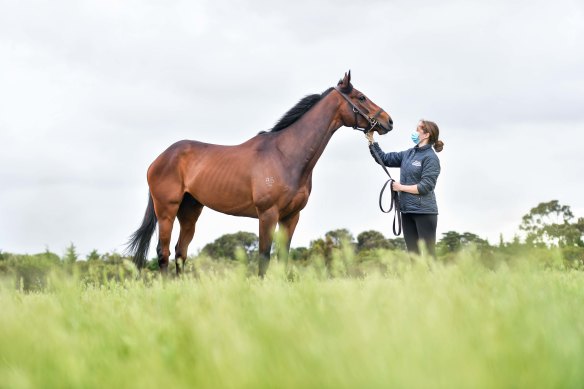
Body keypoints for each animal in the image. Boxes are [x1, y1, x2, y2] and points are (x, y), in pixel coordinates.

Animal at [126, 70, 392, 276]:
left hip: (190, 211)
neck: (286, 155)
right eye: (361, 97)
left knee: (180, 253)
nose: (388, 121)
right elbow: (264, 258)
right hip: (167, 211)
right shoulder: (267, 215)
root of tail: (160, 158)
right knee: (163, 253)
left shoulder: (291, 217)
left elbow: (283, 258)